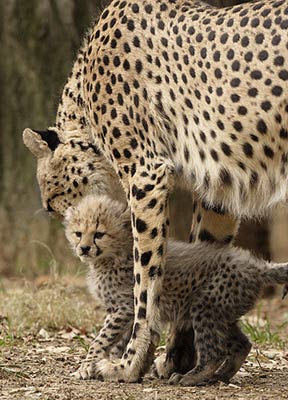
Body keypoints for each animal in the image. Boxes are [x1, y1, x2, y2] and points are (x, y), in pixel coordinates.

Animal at [23, 0, 288, 382]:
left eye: (51, 200)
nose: (75, 240)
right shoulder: (217, 190)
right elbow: (204, 251)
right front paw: (180, 355)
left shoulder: (146, 174)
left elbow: (145, 279)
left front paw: (132, 360)